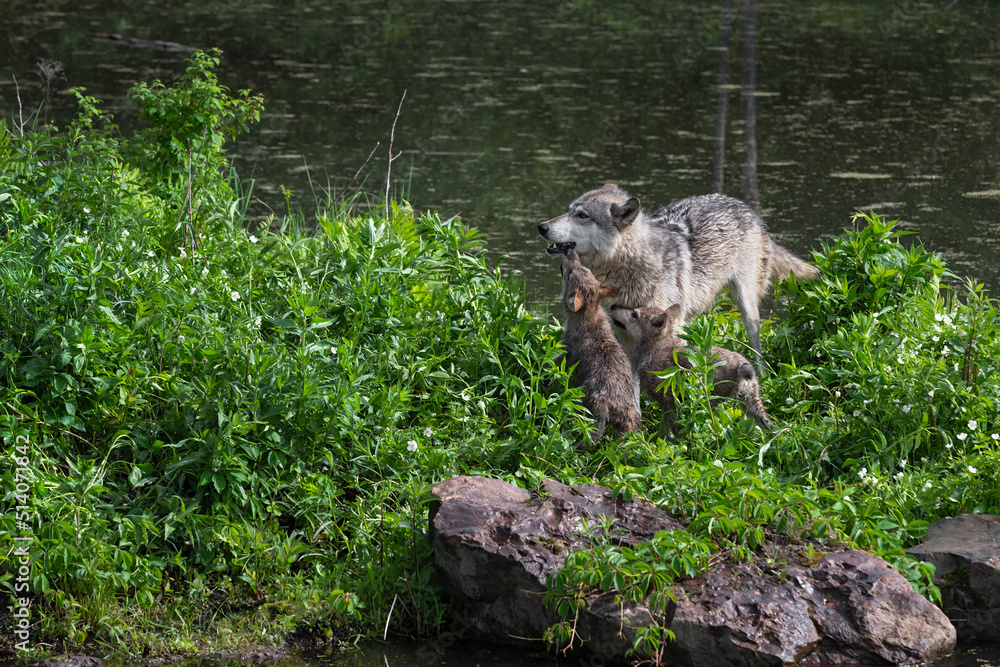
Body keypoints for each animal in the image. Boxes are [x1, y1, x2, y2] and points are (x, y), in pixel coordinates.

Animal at [537, 184, 818, 372]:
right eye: (569, 211)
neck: (631, 266)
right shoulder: (623, 331)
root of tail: (745, 207)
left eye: (582, 215)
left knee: (756, 349)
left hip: (747, 307)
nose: (541, 226)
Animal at [558, 248, 641, 447]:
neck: (589, 317)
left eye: (570, 273)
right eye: (585, 269)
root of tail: (605, 402)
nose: (569, 251)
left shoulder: (563, 351)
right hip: (631, 419)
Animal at [610, 303, 775, 435]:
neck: (654, 349)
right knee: (770, 425)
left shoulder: (668, 401)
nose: (613, 306)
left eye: (634, 314)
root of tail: (741, 366)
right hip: (751, 405)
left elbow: (668, 430)